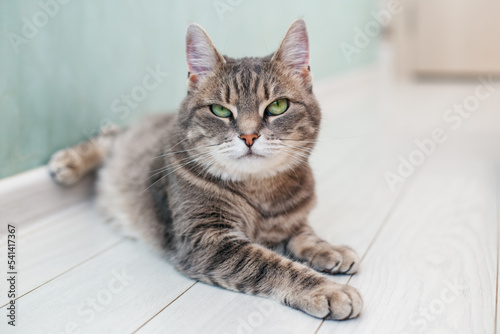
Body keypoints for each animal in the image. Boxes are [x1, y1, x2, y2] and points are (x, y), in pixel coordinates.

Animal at [48, 18, 364, 320]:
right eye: (220, 111)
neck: (259, 190)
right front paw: (328, 290)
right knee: (108, 136)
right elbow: (271, 265)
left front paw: (329, 249)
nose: (249, 136)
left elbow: (306, 235)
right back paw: (67, 163)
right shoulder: (207, 239)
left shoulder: (290, 222)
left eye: (278, 106)